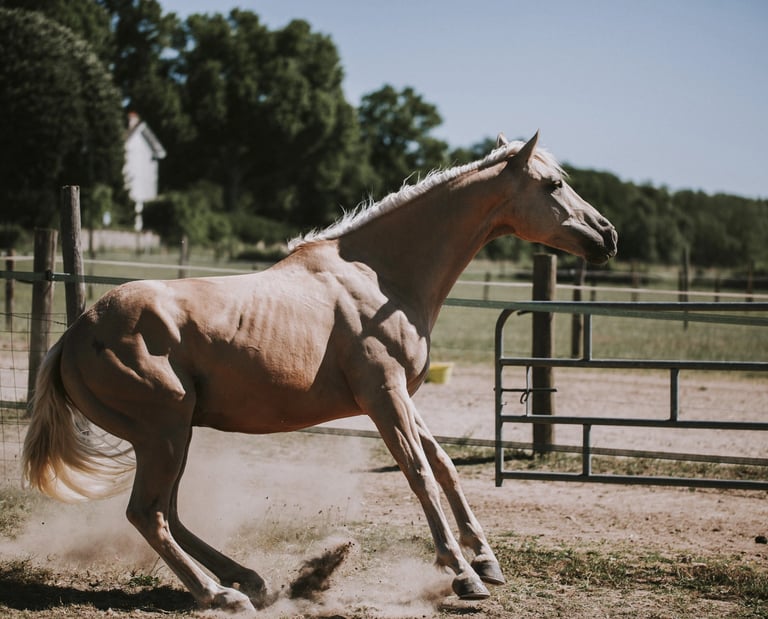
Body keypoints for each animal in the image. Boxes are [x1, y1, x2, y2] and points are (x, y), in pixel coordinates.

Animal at [23, 131, 617, 612]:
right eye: (554, 184)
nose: (608, 235)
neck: (379, 276)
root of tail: (75, 335)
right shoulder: (383, 397)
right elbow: (419, 474)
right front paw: (464, 575)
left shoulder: (402, 396)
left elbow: (445, 466)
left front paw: (486, 560)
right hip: (162, 434)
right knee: (148, 515)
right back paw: (221, 595)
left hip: (175, 435)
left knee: (167, 512)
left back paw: (248, 579)